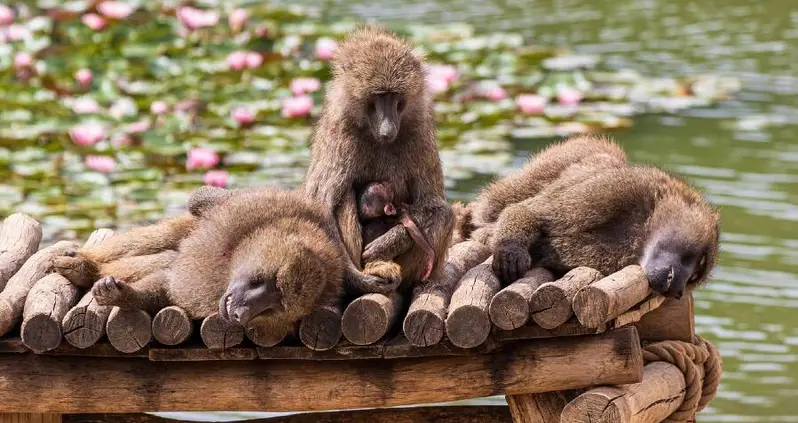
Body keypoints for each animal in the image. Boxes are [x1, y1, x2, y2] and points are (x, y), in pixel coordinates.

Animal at [84, 188, 345, 335]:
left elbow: (167, 286)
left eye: (273, 307)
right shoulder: (260, 207)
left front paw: (121, 295)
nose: (239, 314)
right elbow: (201, 199)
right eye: (260, 281)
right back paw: (83, 265)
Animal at [303, 24, 453, 295]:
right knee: (344, 196)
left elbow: (434, 205)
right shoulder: (339, 131)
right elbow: (321, 206)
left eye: (395, 96)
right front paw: (357, 278)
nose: (387, 130)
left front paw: (387, 244)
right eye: (378, 96)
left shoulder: (419, 130)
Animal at [477, 136, 718, 299]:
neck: (641, 230)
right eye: (697, 260)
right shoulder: (618, 188)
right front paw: (510, 248)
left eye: (694, 277)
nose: (678, 292)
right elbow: (530, 212)